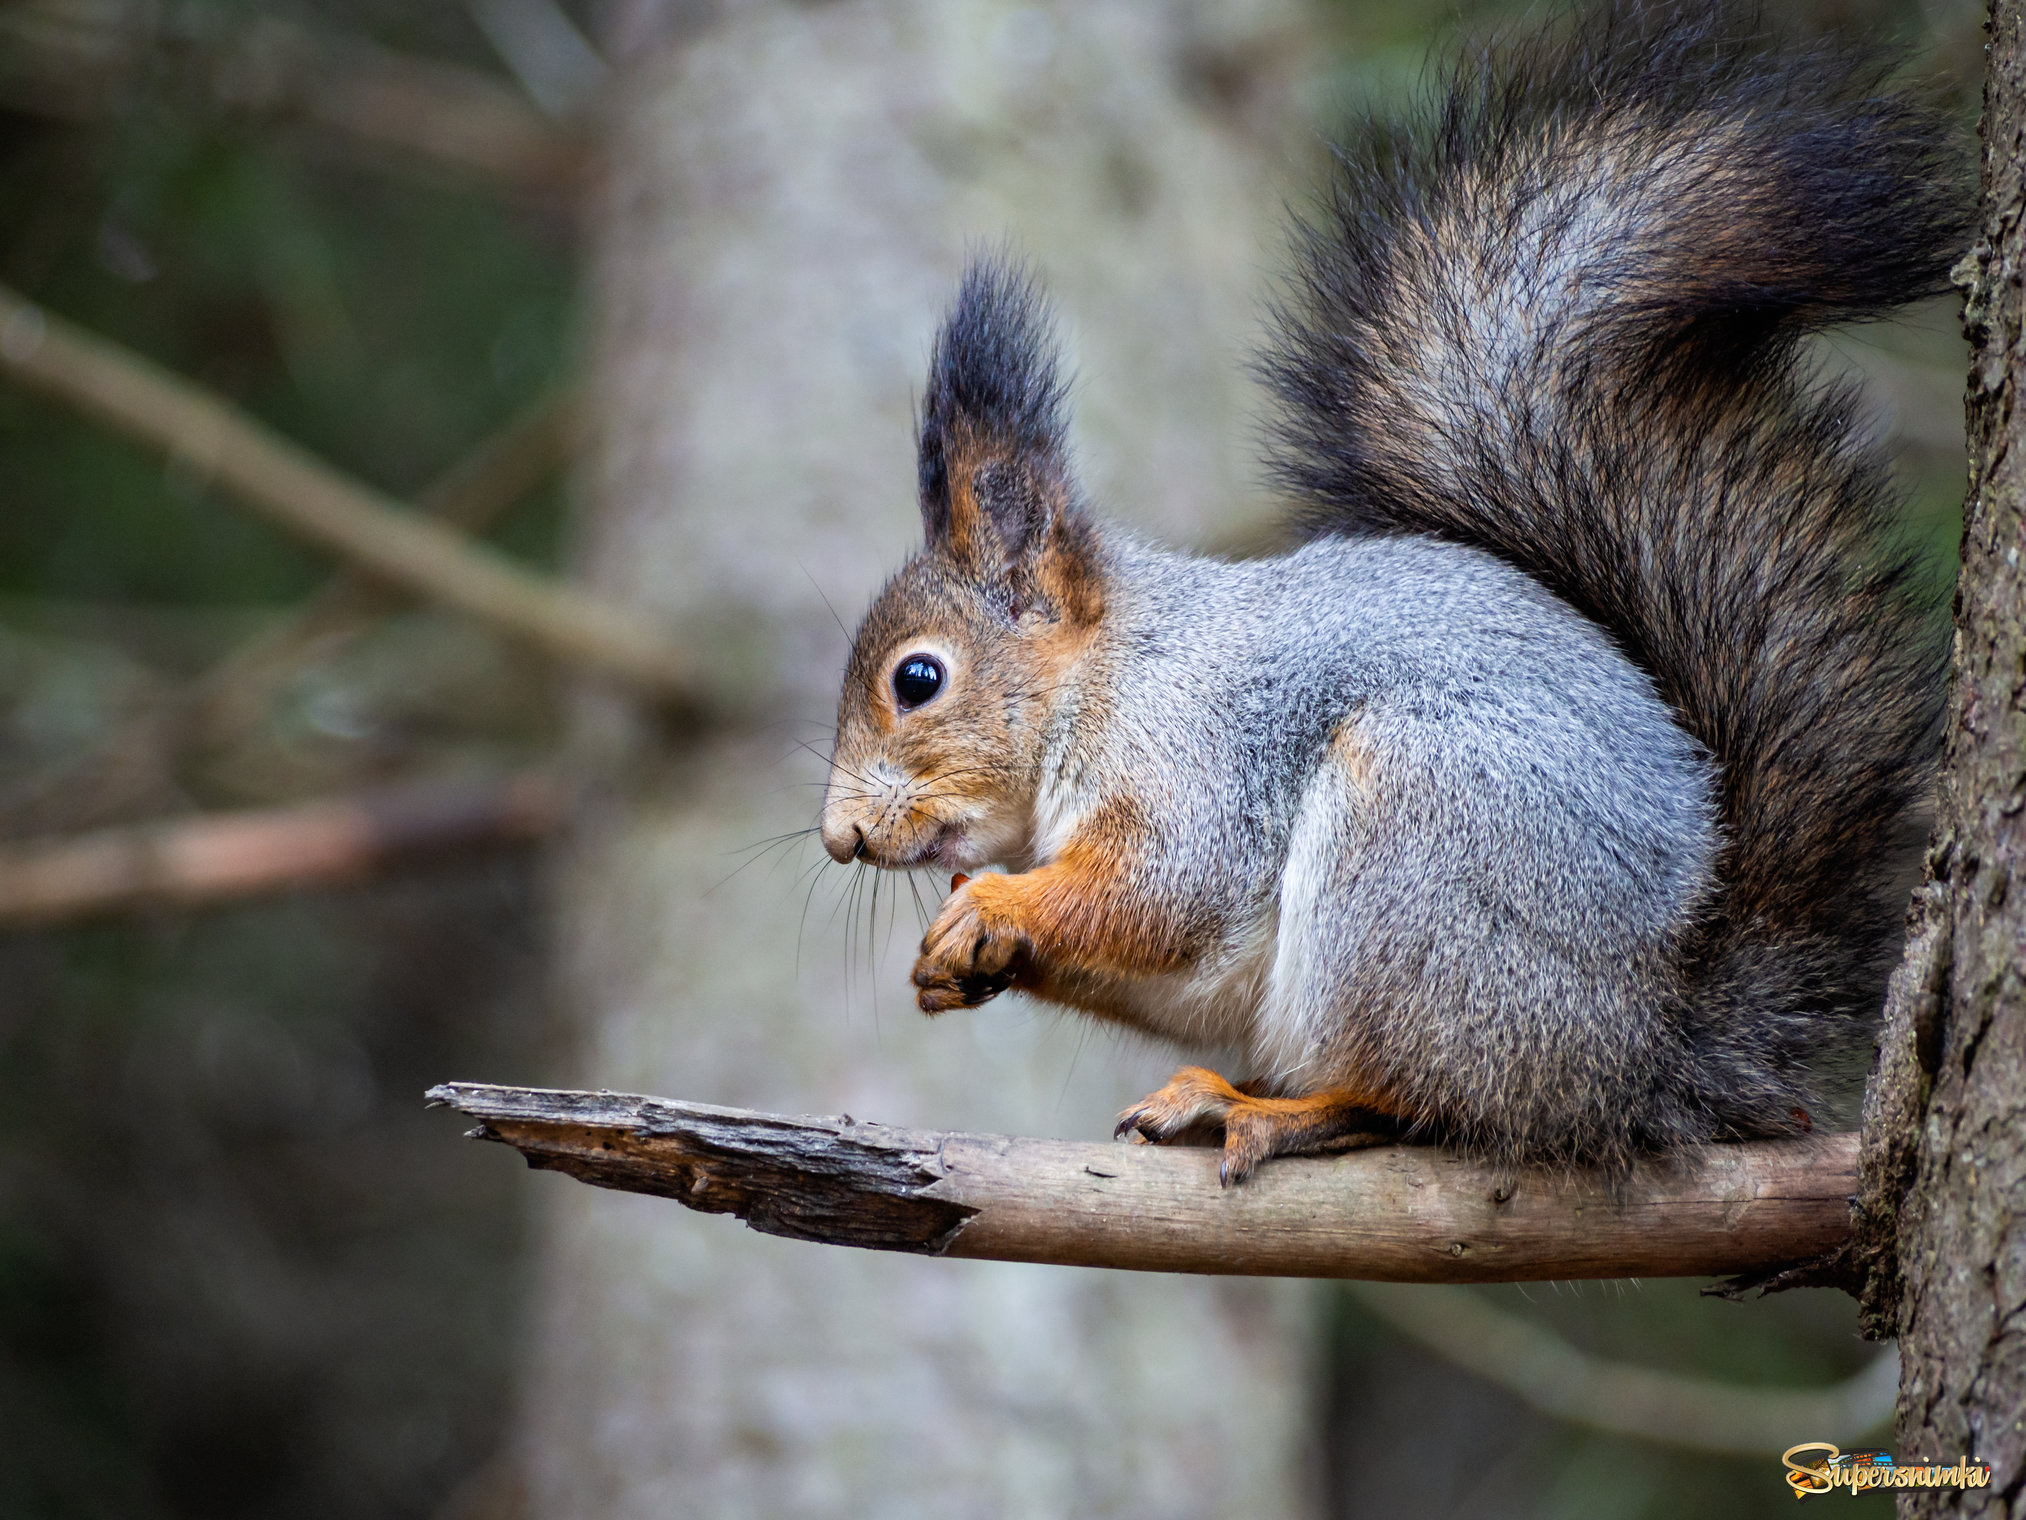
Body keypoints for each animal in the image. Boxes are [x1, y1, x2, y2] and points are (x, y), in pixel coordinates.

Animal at [814, 0, 1969, 1183]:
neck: (1112, 672)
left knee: (1421, 1103)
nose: (840, 839)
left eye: (917, 679)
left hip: (1414, 851)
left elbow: (1162, 889)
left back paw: (1269, 1110)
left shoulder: (1197, 755)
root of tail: (1638, 1059)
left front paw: (996, 902)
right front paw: (963, 953)